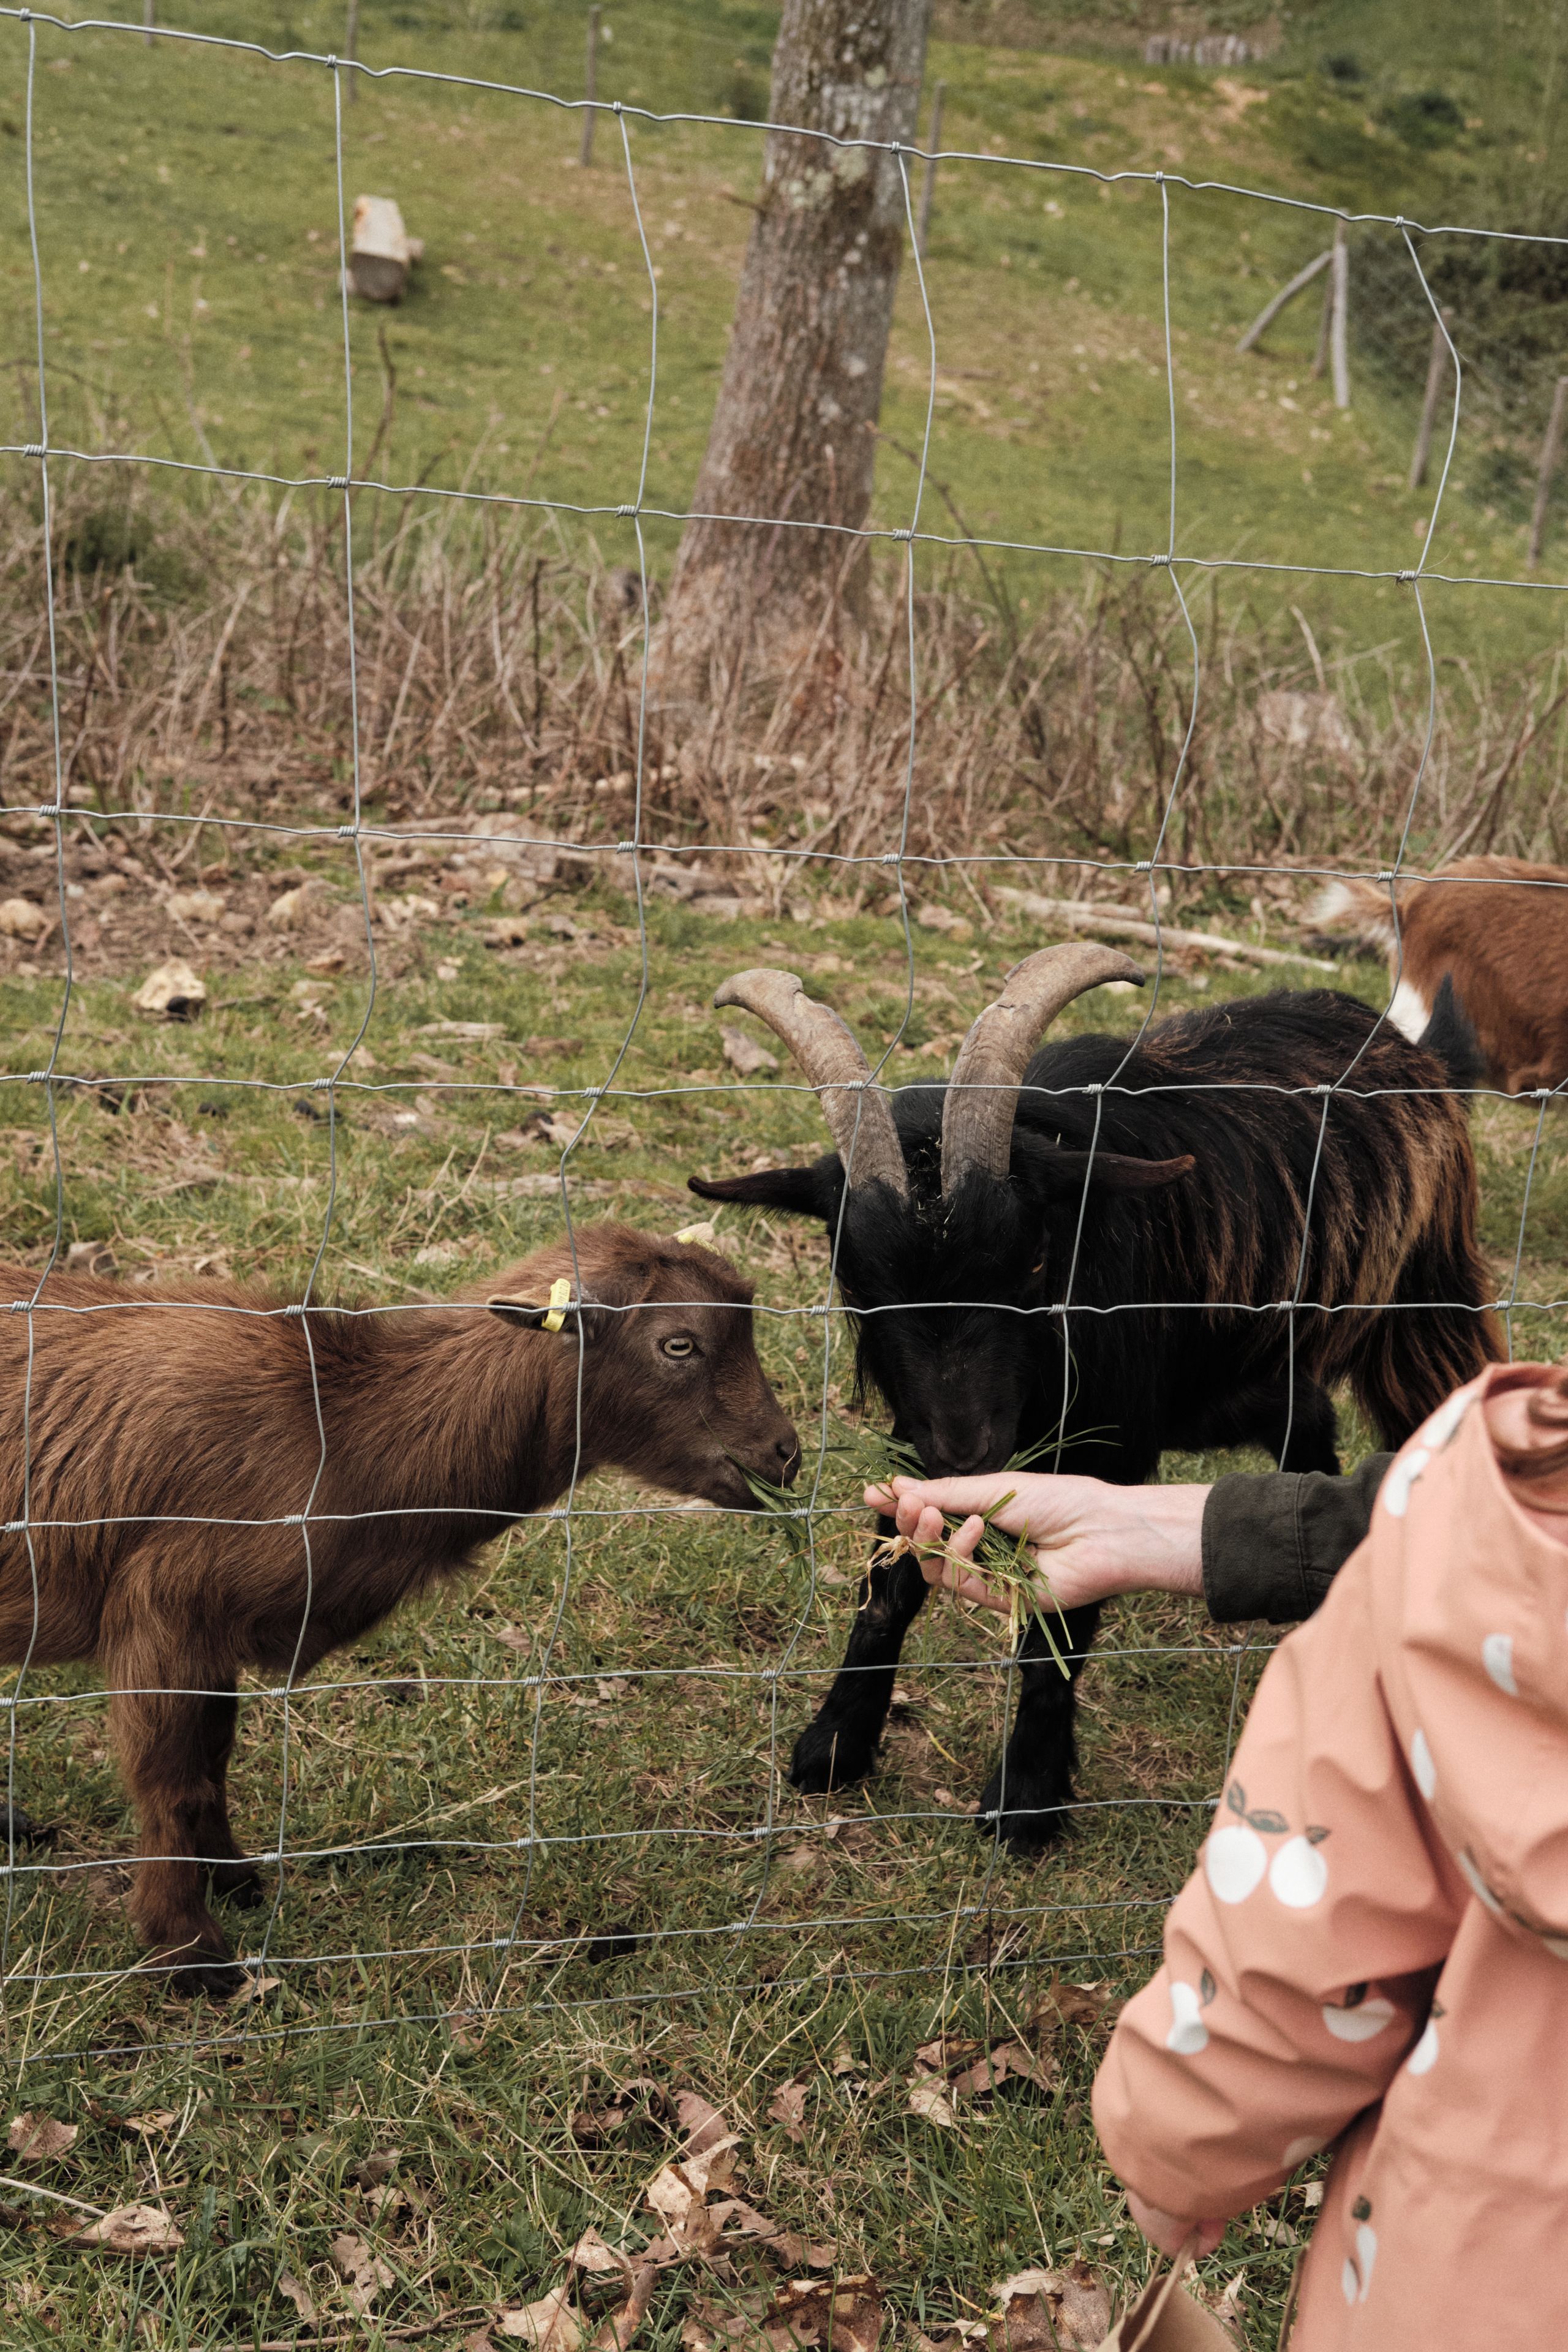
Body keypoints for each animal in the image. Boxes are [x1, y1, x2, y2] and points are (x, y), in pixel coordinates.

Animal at [0, 1224, 798, 1994]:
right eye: (678, 1343)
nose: (785, 1454)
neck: (342, 1432)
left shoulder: (210, 1635)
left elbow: (214, 1760)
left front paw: (235, 1881)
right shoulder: (163, 1614)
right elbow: (174, 1784)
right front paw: (191, 1954)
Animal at [688, 946, 1499, 1848]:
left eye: (1036, 1262)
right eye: (859, 1283)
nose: (969, 1449)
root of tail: (1414, 1049)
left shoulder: (1111, 1446)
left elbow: (1060, 1624)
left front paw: (1026, 1800)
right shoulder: (915, 1433)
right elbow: (888, 1585)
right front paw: (833, 1743)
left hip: (1425, 1305)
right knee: (1306, 1422)